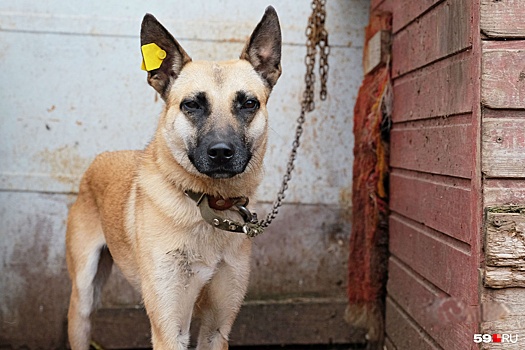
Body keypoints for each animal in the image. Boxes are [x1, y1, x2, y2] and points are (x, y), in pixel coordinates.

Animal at [66, 6, 282, 348]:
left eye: (249, 103)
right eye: (192, 104)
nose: (221, 152)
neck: (208, 206)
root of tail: (101, 158)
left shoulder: (217, 327)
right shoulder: (170, 327)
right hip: (83, 300)